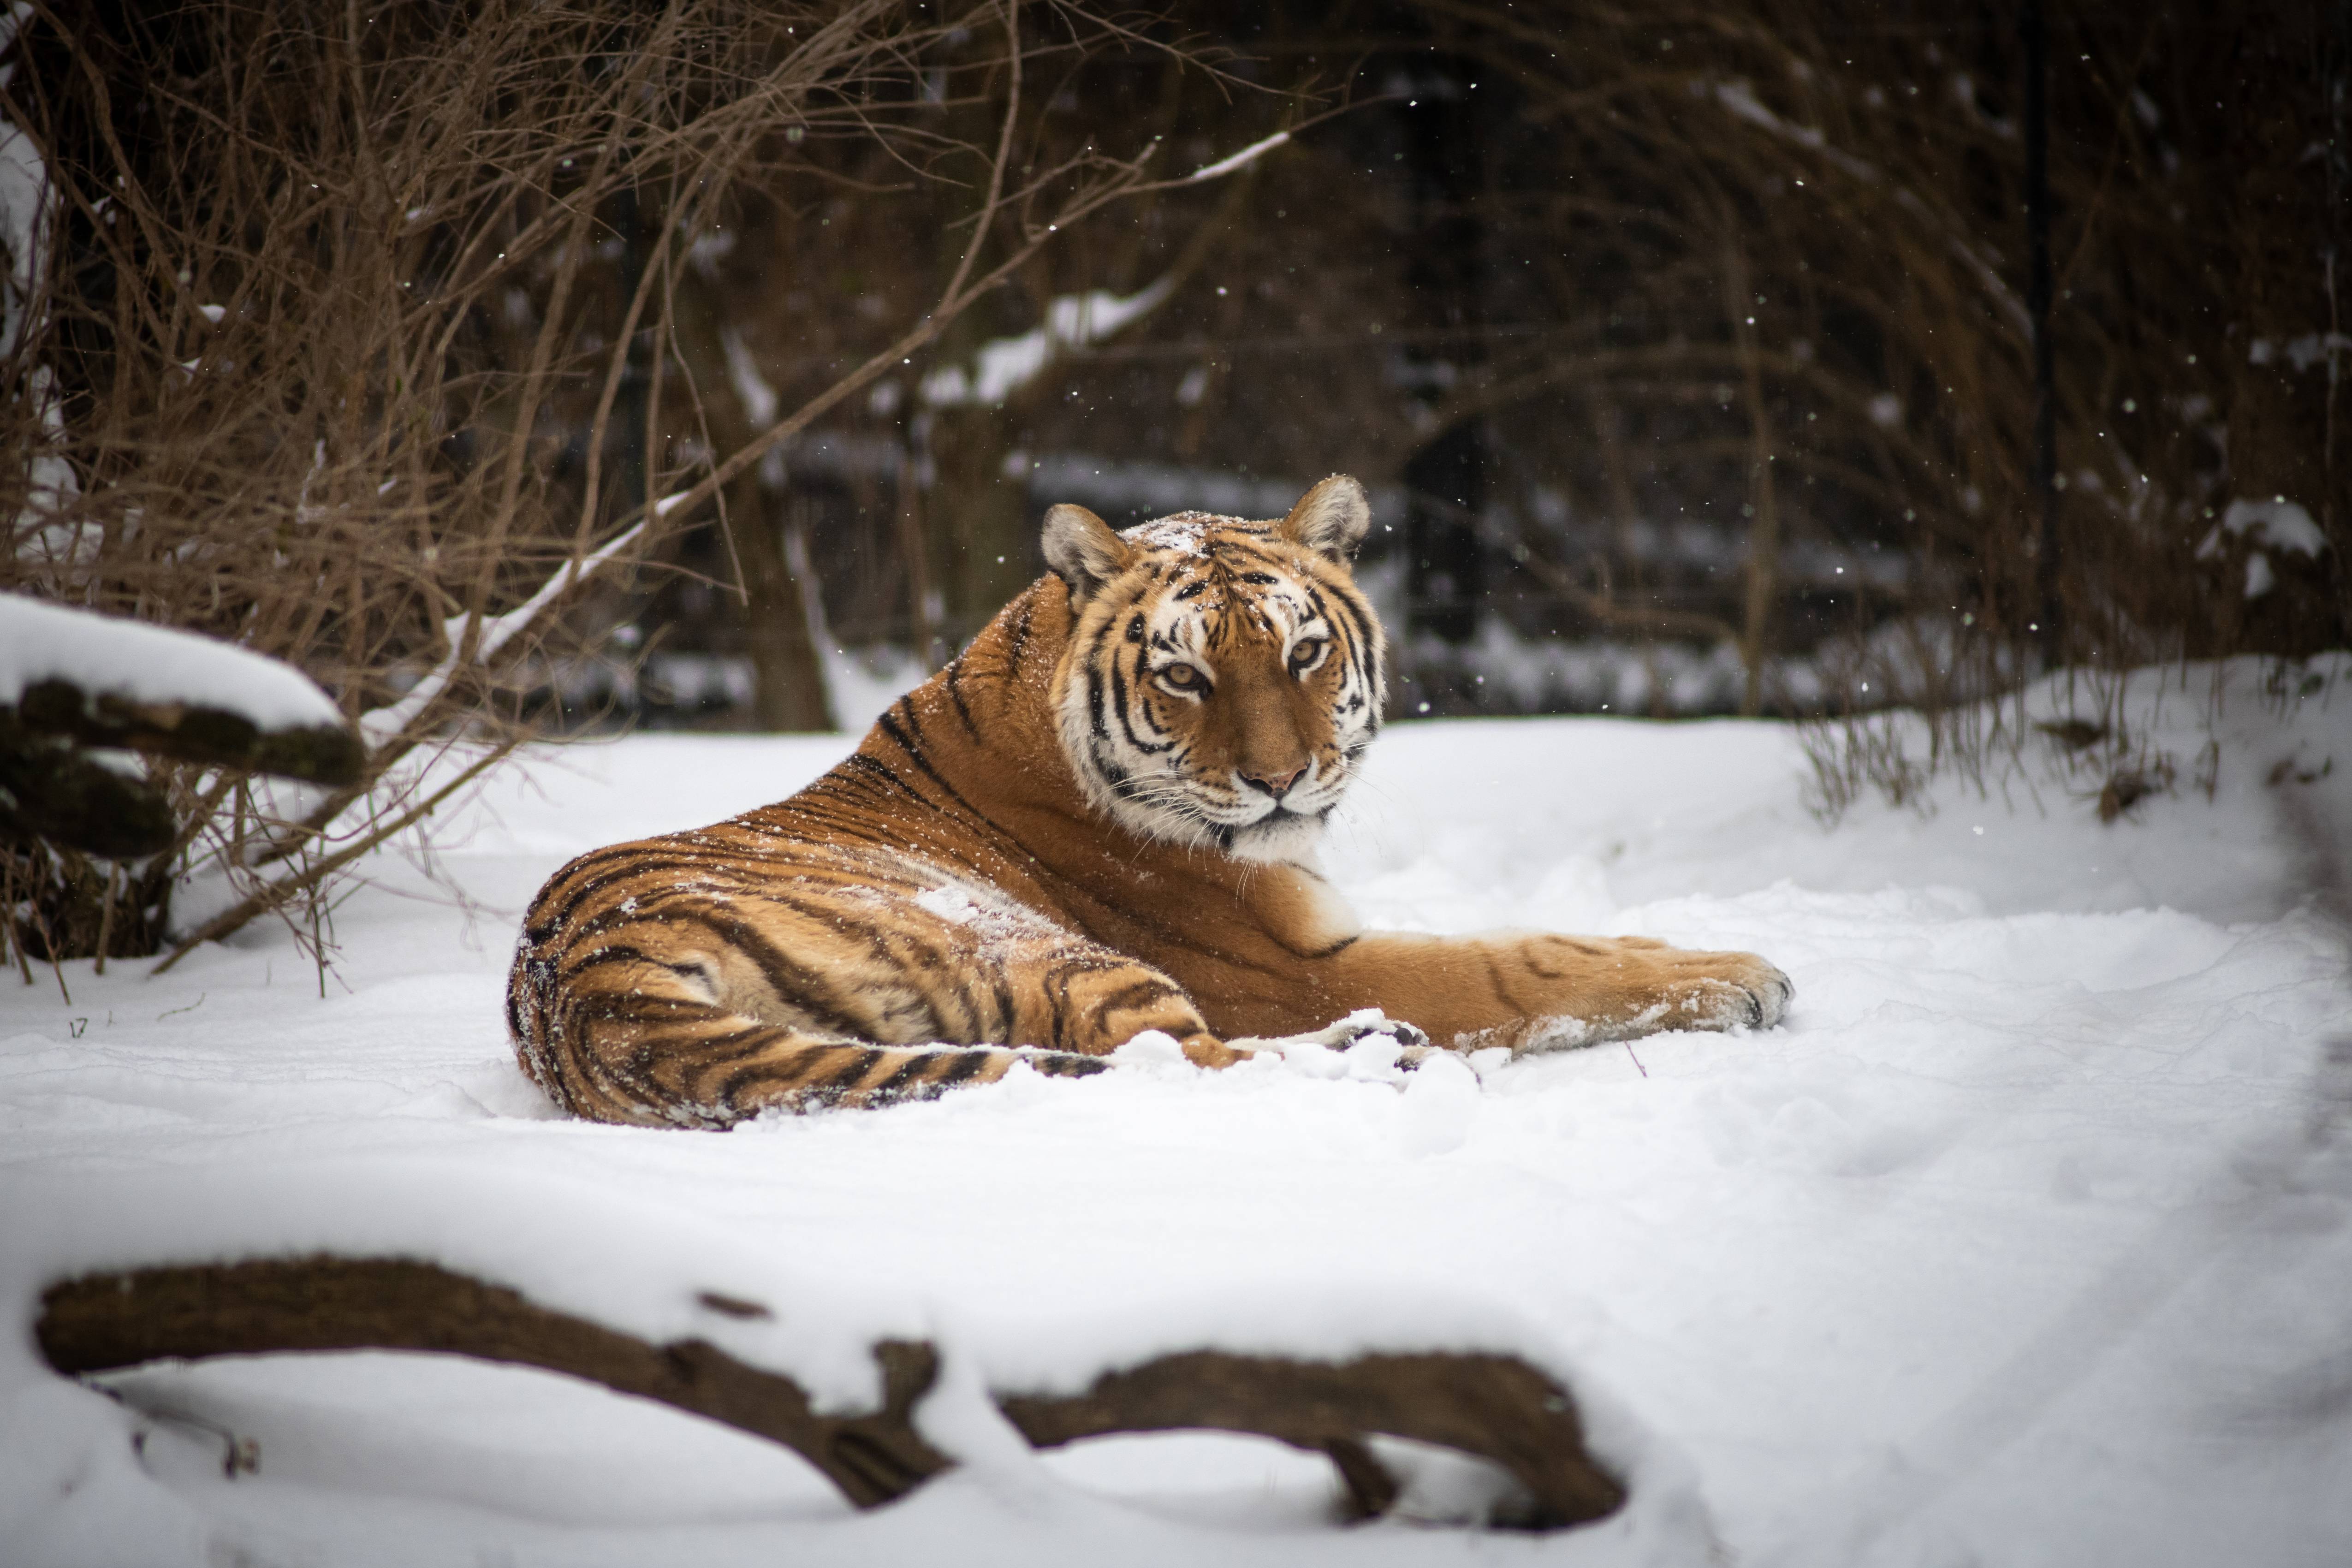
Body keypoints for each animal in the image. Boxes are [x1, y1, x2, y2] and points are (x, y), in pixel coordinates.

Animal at [510, 479, 1778, 1128]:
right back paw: (1386, 1056)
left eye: (1303, 652)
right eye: (1186, 675)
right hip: (1037, 944)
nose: (1278, 779)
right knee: (1187, 1062)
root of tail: (582, 986)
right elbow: (1523, 963)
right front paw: (1742, 972)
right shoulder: (1292, 965)